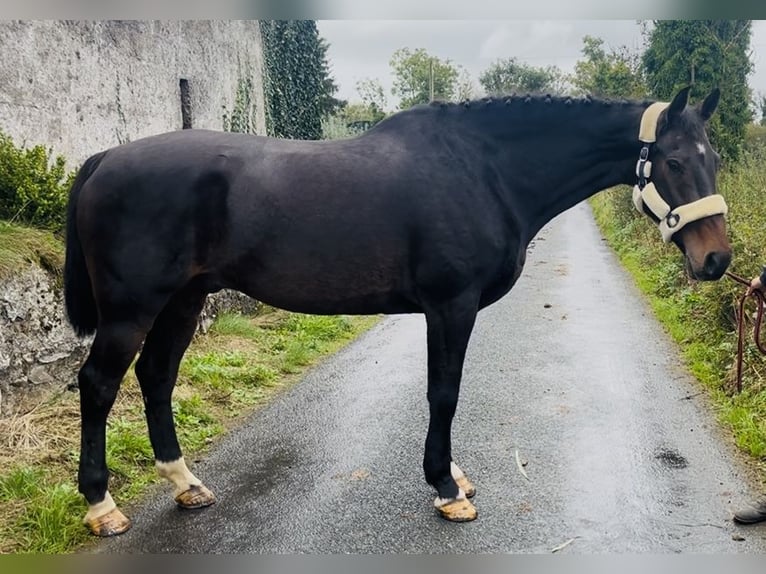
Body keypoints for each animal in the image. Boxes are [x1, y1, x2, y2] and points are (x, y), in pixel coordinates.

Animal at [63, 86, 730, 536]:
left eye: (715, 159)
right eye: (674, 161)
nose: (717, 259)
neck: (485, 171)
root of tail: (102, 160)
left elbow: (444, 391)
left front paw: (452, 474)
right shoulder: (451, 306)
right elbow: (444, 392)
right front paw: (446, 488)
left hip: (183, 301)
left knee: (156, 378)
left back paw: (187, 485)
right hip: (131, 310)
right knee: (98, 385)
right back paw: (102, 507)